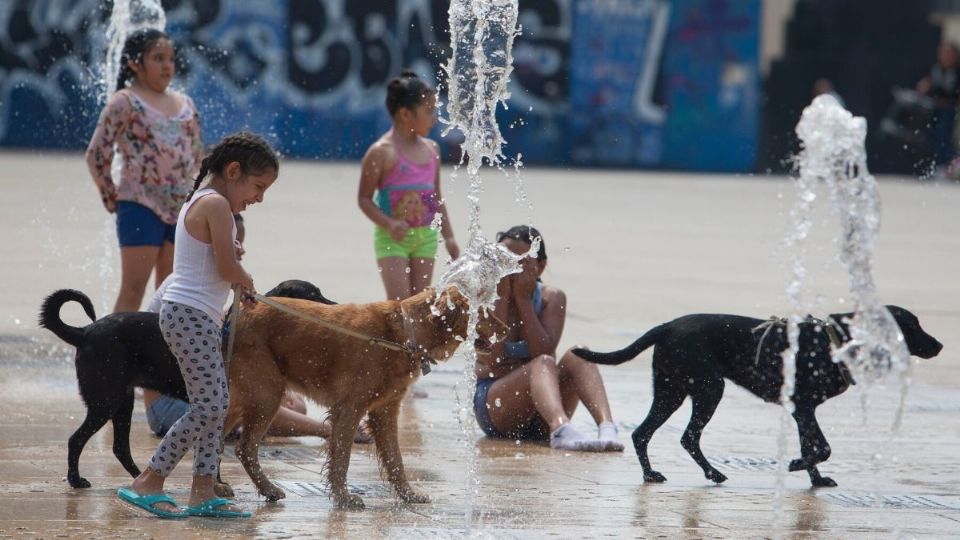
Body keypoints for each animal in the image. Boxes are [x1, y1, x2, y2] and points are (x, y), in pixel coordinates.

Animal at [39, 278, 336, 490]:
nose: (336, 306)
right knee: (76, 439)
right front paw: (216, 484)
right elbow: (214, 451)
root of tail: (85, 331)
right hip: (106, 401)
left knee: (120, 447)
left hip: (122, 401)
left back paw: (140, 478)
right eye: (313, 295)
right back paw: (77, 480)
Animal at [223, 286, 502, 510]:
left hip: (243, 398)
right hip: (267, 394)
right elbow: (342, 459)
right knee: (244, 447)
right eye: (484, 310)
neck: (404, 335)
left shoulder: (385, 410)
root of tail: (234, 314)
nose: (507, 328)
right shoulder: (349, 408)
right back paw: (264, 488)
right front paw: (344, 499)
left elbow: (395, 459)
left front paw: (408, 496)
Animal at [572, 306, 940, 488]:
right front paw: (796, 464)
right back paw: (711, 473)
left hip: (671, 390)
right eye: (912, 325)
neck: (836, 342)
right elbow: (822, 447)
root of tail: (668, 326)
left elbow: (813, 446)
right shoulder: (803, 407)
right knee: (687, 436)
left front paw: (816, 480)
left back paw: (652, 475)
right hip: (708, 388)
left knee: (642, 433)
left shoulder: (801, 411)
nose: (939, 345)